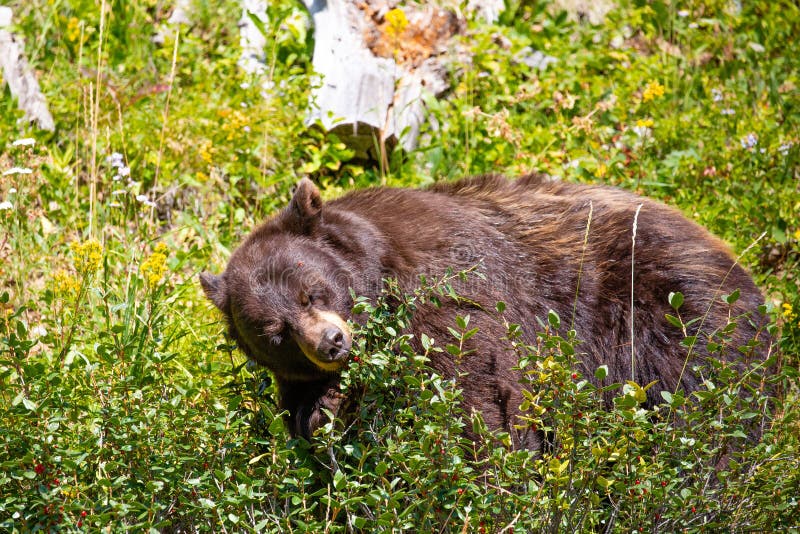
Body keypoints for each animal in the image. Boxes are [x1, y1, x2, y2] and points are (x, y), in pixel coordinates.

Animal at [200, 174, 770, 447]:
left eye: (312, 292)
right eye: (275, 333)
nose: (330, 342)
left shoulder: (448, 295)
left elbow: (477, 391)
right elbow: (308, 420)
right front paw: (324, 414)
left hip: (667, 309)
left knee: (704, 399)